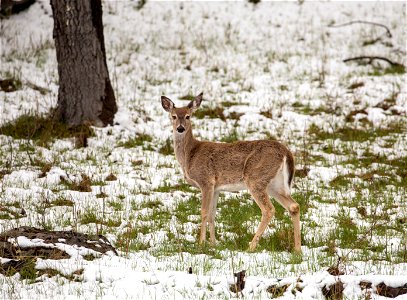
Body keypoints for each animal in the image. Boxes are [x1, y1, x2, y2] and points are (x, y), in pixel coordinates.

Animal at [161, 92, 302, 252]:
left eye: (188, 116)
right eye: (173, 116)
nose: (180, 128)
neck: (190, 155)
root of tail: (286, 152)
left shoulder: (206, 181)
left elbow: (204, 212)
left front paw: (201, 243)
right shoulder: (216, 188)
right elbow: (212, 215)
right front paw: (213, 243)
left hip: (255, 178)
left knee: (269, 210)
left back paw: (251, 247)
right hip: (274, 183)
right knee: (294, 206)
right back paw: (298, 249)